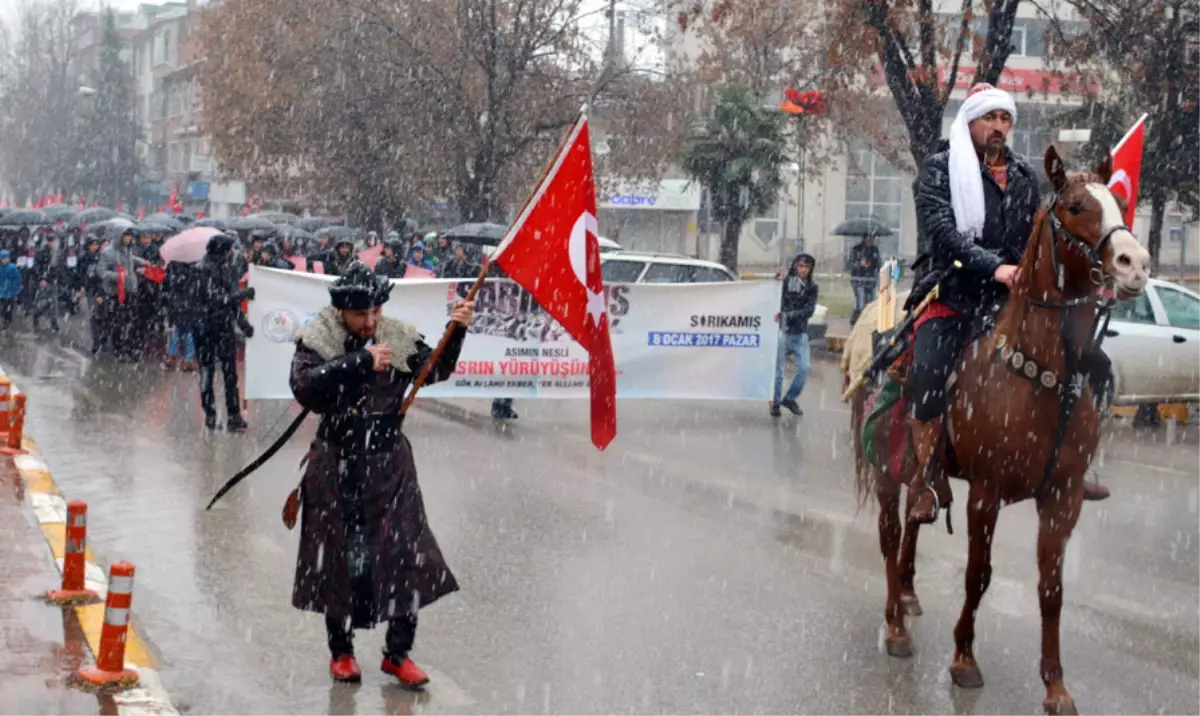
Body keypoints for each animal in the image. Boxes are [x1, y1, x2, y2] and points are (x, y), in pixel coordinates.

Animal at [849, 146, 1147, 714]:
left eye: (1120, 203)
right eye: (1076, 206)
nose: (1135, 264)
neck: (1042, 372)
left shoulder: (1063, 497)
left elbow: (1051, 590)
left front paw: (1055, 686)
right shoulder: (985, 493)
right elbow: (978, 574)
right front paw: (964, 658)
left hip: (925, 472)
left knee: (916, 519)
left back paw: (909, 596)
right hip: (885, 470)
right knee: (890, 534)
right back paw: (895, 623)